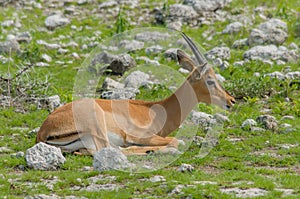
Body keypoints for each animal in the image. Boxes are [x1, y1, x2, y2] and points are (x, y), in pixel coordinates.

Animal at [36, 33, 236, 155]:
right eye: (210, 80)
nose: (231, 100)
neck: (157, 110)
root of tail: (43, 131)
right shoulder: (139, 135)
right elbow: (175, 141)